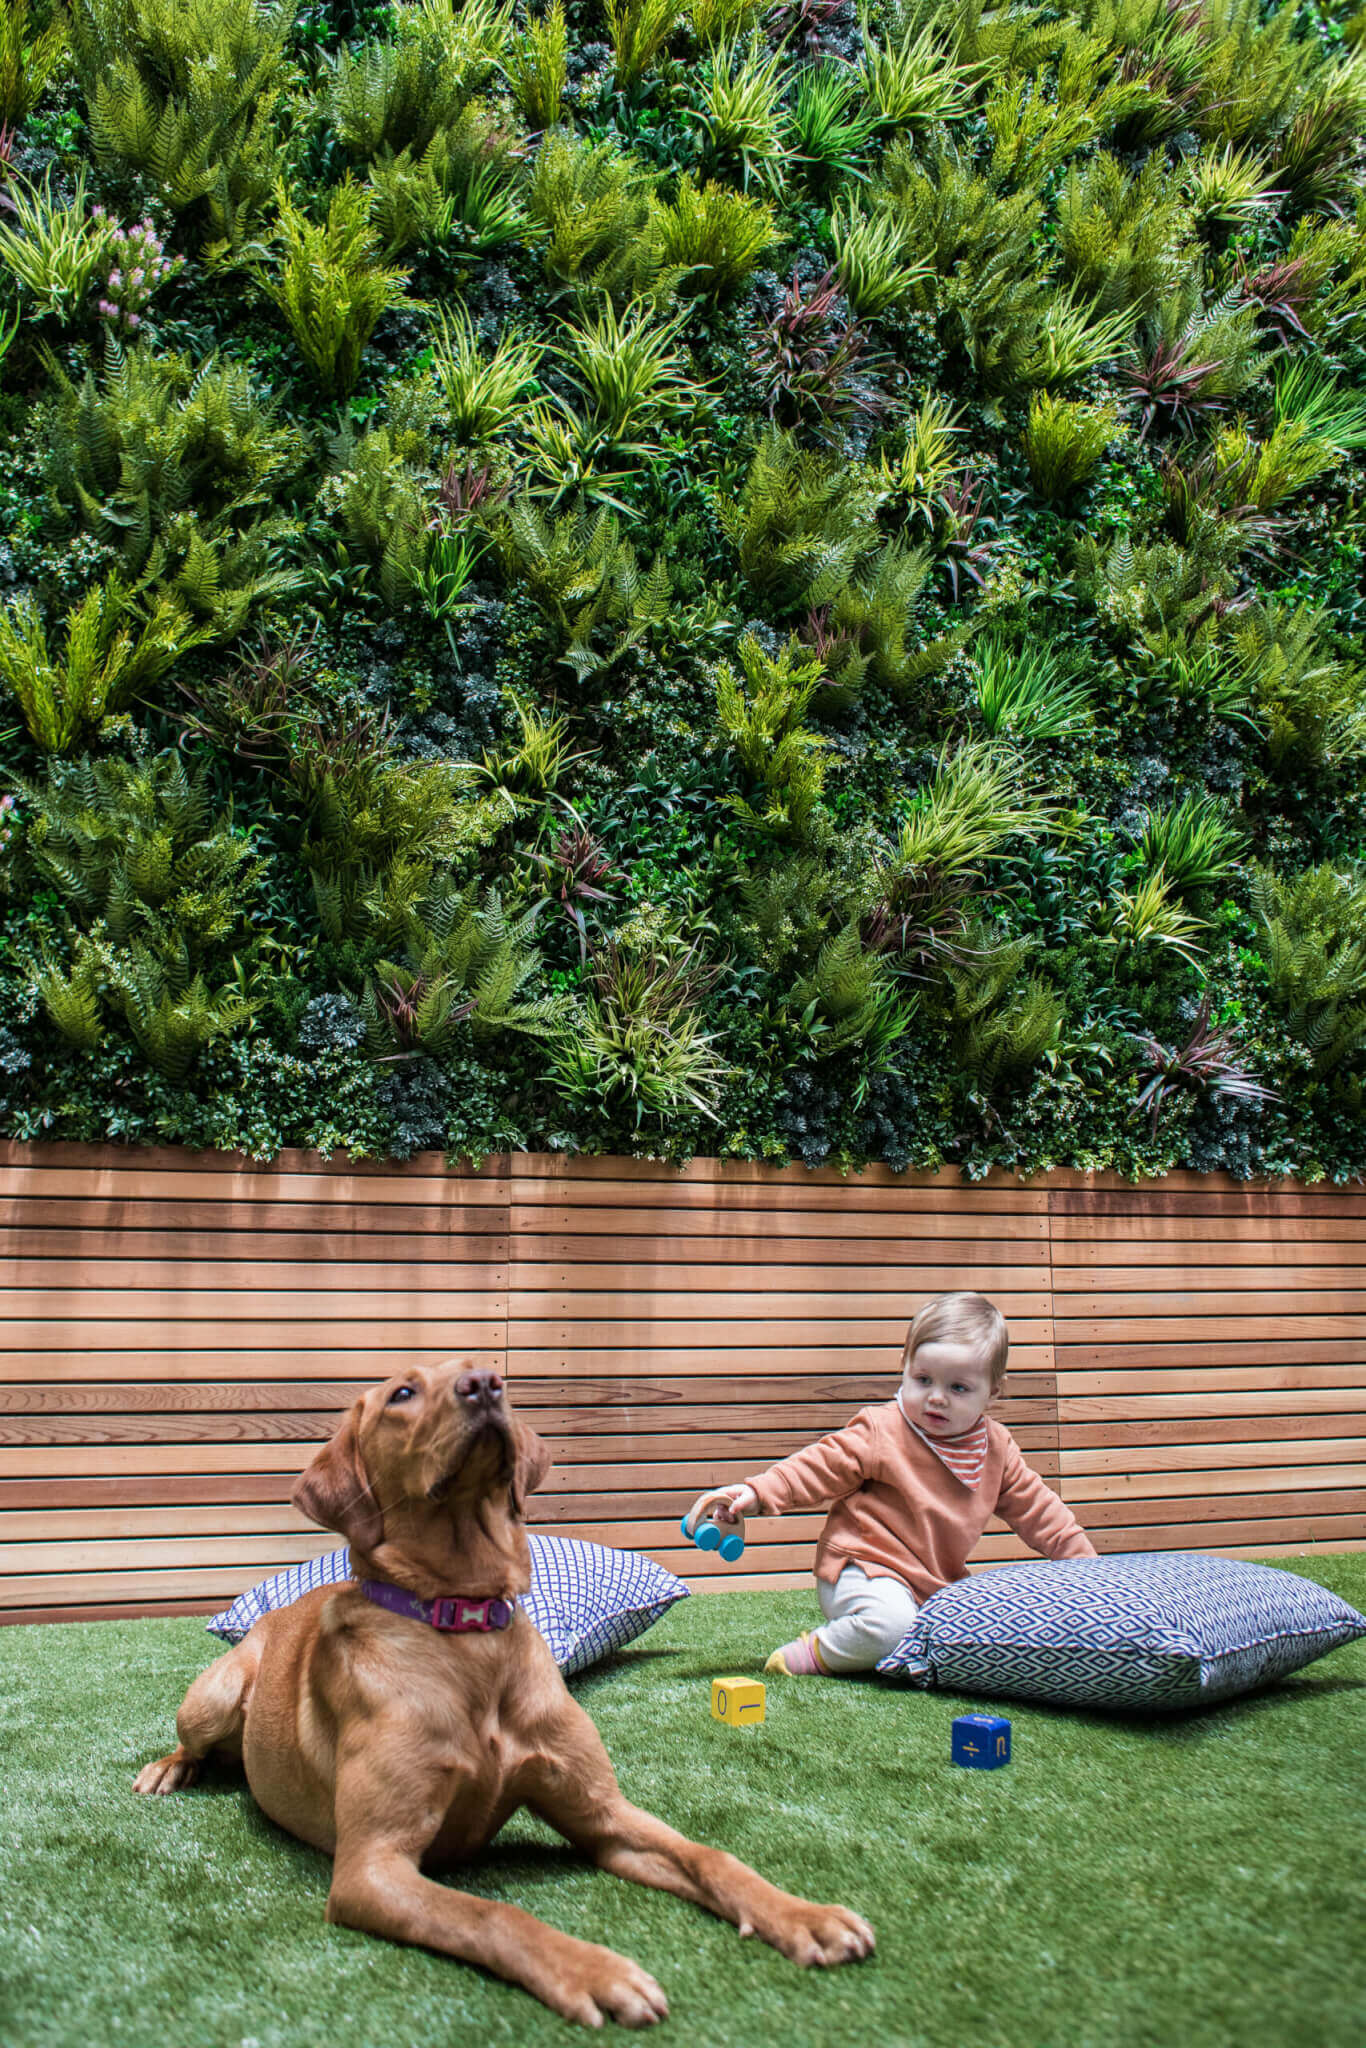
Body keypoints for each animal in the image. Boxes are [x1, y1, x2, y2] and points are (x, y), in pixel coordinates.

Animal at [133, 1359, 872, 2015]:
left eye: (484, 1371)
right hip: (216, 1696)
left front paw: (800, 1914)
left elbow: (712, 1855)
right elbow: (492, 1915)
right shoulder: (372, 1867)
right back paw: (167, 1770)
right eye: (403, 1393)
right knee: (193, 1743)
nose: (486, 1383)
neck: (467, 1633)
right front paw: (592, 1970)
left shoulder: (603, 1816)